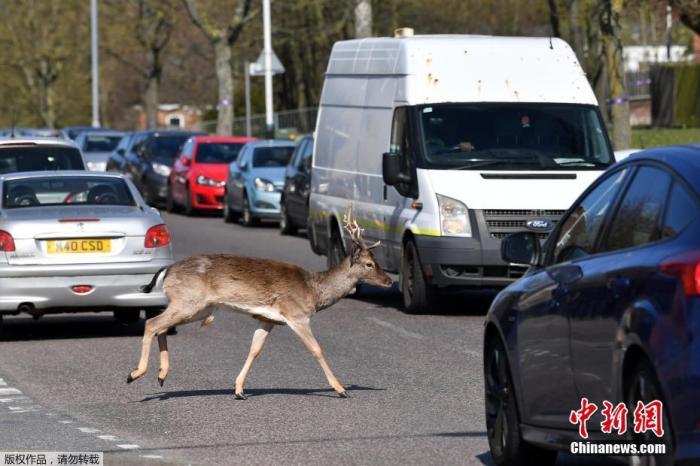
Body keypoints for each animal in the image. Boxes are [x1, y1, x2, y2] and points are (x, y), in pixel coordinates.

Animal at [124, 206, 388, 398]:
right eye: (369, 264)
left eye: (377, 260)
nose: (388, 280)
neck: (313, 290)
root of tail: (167, 270)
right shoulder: (296, 314)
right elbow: (316, 349)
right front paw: (340, 389)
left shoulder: (267, 319)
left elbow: (255, 349)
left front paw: (239, 389)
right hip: (188, 301)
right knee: (152, 323)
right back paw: (135, 373)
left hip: (197, 308)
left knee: (161, 326)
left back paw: (161, 376)